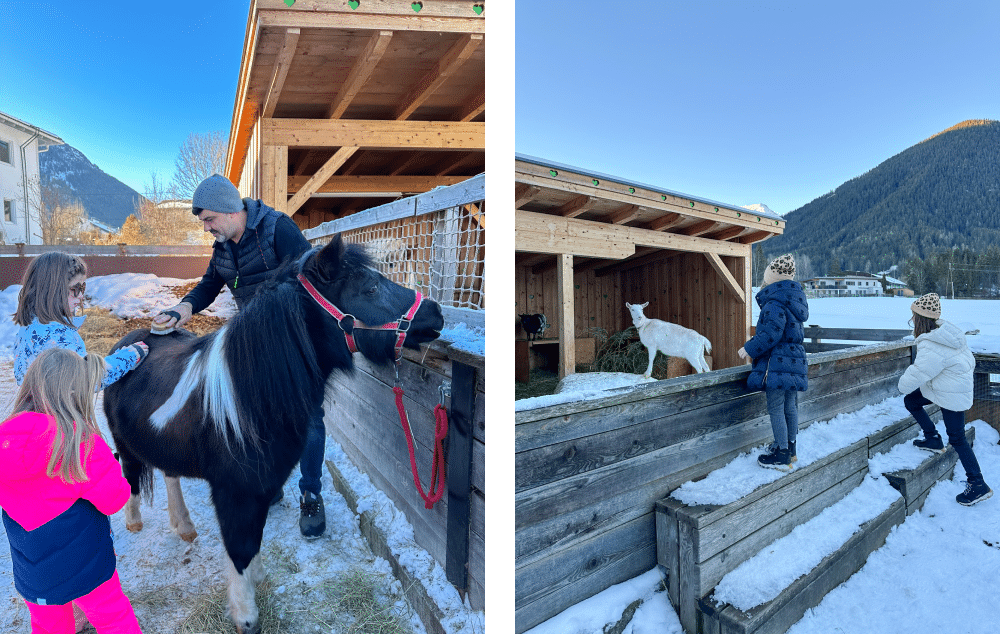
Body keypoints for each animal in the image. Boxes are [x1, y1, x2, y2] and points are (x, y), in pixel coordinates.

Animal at [104, 233, 442, 632]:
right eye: (370, 288)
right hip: (125, 442)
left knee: (169, 473)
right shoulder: (234, 492)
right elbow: (240, 548)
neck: (246, 400)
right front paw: (246, 615)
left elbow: (256, 540)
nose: (436, 312)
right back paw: (134, 521)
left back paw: (183, 525)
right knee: (130, 473)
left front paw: (259, 578)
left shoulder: (263, 486)